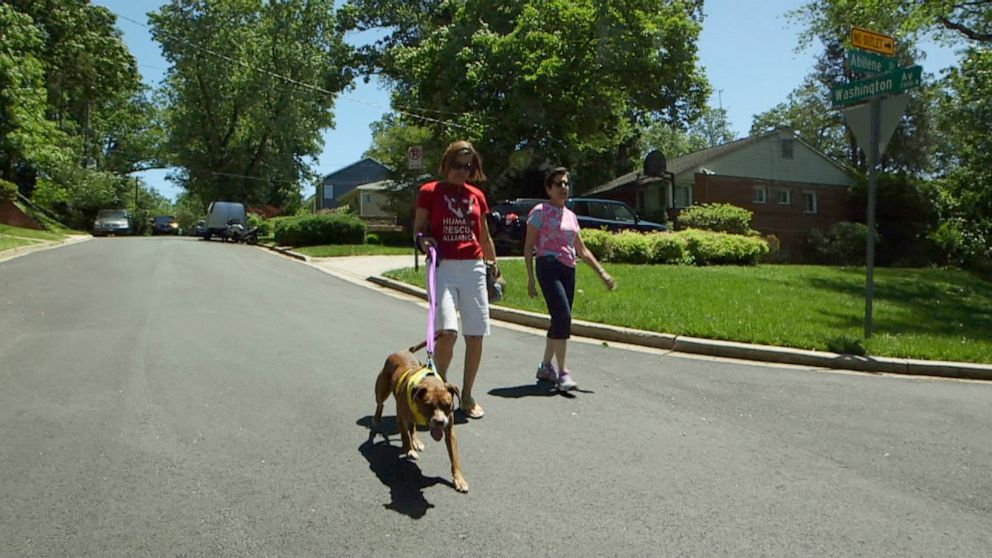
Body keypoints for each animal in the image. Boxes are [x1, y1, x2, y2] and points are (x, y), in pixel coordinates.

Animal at [372, 342, 468, 494]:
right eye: (428, 405)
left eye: (447, 405)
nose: (440, 422)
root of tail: (404, 351)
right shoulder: (401, 417)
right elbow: (405, 435)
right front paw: (409, 450)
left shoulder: (449, 430)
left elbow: (454, 457)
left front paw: (459, 479)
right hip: (382, 389)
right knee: (380, 404)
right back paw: (376, 420)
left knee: (413, 426)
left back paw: (416, 441)